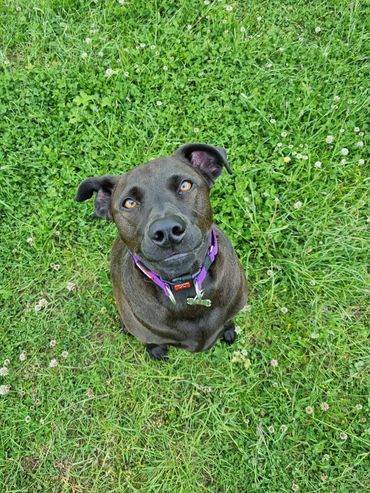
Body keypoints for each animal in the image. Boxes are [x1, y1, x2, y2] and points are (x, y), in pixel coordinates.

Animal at [76, 142, 247, 358]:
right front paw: (155, 349)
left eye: (185, 185)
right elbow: (151, 340)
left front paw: (229, 331)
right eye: (129, 203)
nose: (166, 231)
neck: (185, 286)